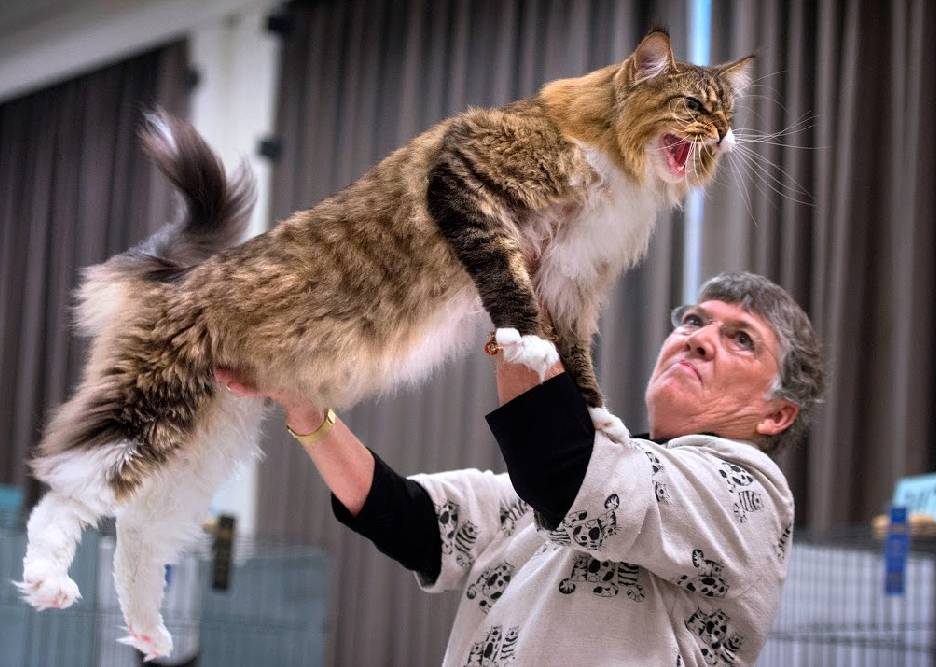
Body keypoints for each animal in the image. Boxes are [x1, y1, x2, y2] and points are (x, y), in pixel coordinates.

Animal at [18, 28, 748, 660]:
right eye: (692, 106)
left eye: (727, 110)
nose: (724, 134)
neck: (614, 163)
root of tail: (180, 277)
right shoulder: (470, 183)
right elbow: (510, 291)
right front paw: (525, 345)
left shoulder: (570, 285)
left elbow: (579, 365)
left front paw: (597, 421)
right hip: (153, 403)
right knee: (64, 488)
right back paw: (49, 580)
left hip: (201, 442)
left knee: (137, 532)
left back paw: (149, 633)